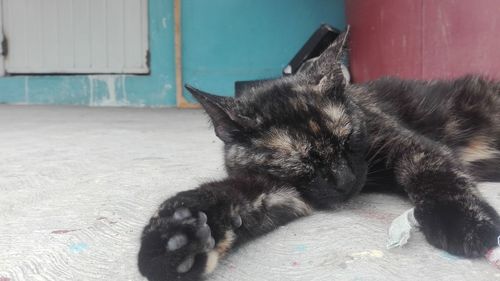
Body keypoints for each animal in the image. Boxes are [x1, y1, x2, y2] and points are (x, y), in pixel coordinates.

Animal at [139, 30, 500, 280]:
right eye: (302, 164)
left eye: (349, 139)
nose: (346, 181)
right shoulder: (278, 190)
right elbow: (223, 196)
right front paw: (175, 238)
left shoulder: (408, 145)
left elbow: (433, 173)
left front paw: (463, 221)